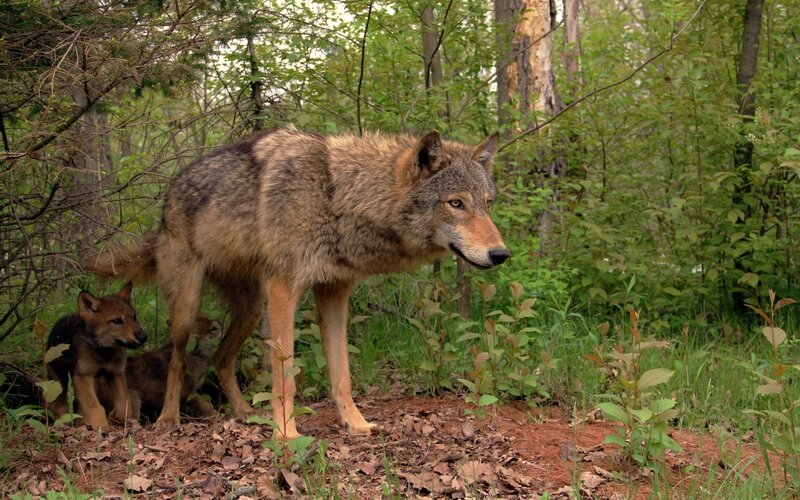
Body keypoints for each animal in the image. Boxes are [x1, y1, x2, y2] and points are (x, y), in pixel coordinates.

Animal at [46, 282, 147, 429]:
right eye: (117, 321)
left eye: (134, 317)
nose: (144, 337)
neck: (104, 352)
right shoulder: (83, 376)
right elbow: (95, 406)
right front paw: (101, 427)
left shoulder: (115, 373)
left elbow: (123, 405)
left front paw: (114, 419)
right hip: (58, 382)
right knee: (59, 406)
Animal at [85, 126, 508, 439]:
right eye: (456, 203)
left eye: (488, 204)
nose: (501, 254)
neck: (336, 196)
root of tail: (167, 197)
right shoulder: (284, 289)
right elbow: (285, 378)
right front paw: (286, 435)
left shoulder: (334, 293)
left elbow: (342, 375)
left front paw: (355, 424)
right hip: (189, 309)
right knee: (175, 359)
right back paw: (169, 419)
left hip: (251, 309)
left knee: (221, 359)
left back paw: (243, 414)